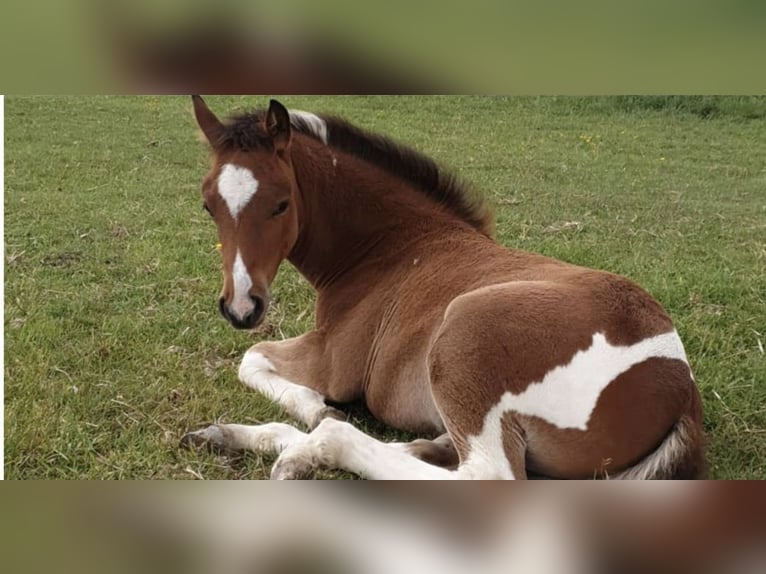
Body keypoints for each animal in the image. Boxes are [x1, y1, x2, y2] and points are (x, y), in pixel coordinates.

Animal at [182, 95, 708, 482]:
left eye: (281, 204)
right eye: (209, 205)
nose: (241, 308)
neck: (393, 246)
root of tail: (680, 391)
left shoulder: (333, 361)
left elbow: (254, 361)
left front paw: (313, 411)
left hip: (465, 333)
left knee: (480, 474)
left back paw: (309, 446)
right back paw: (244, 440)